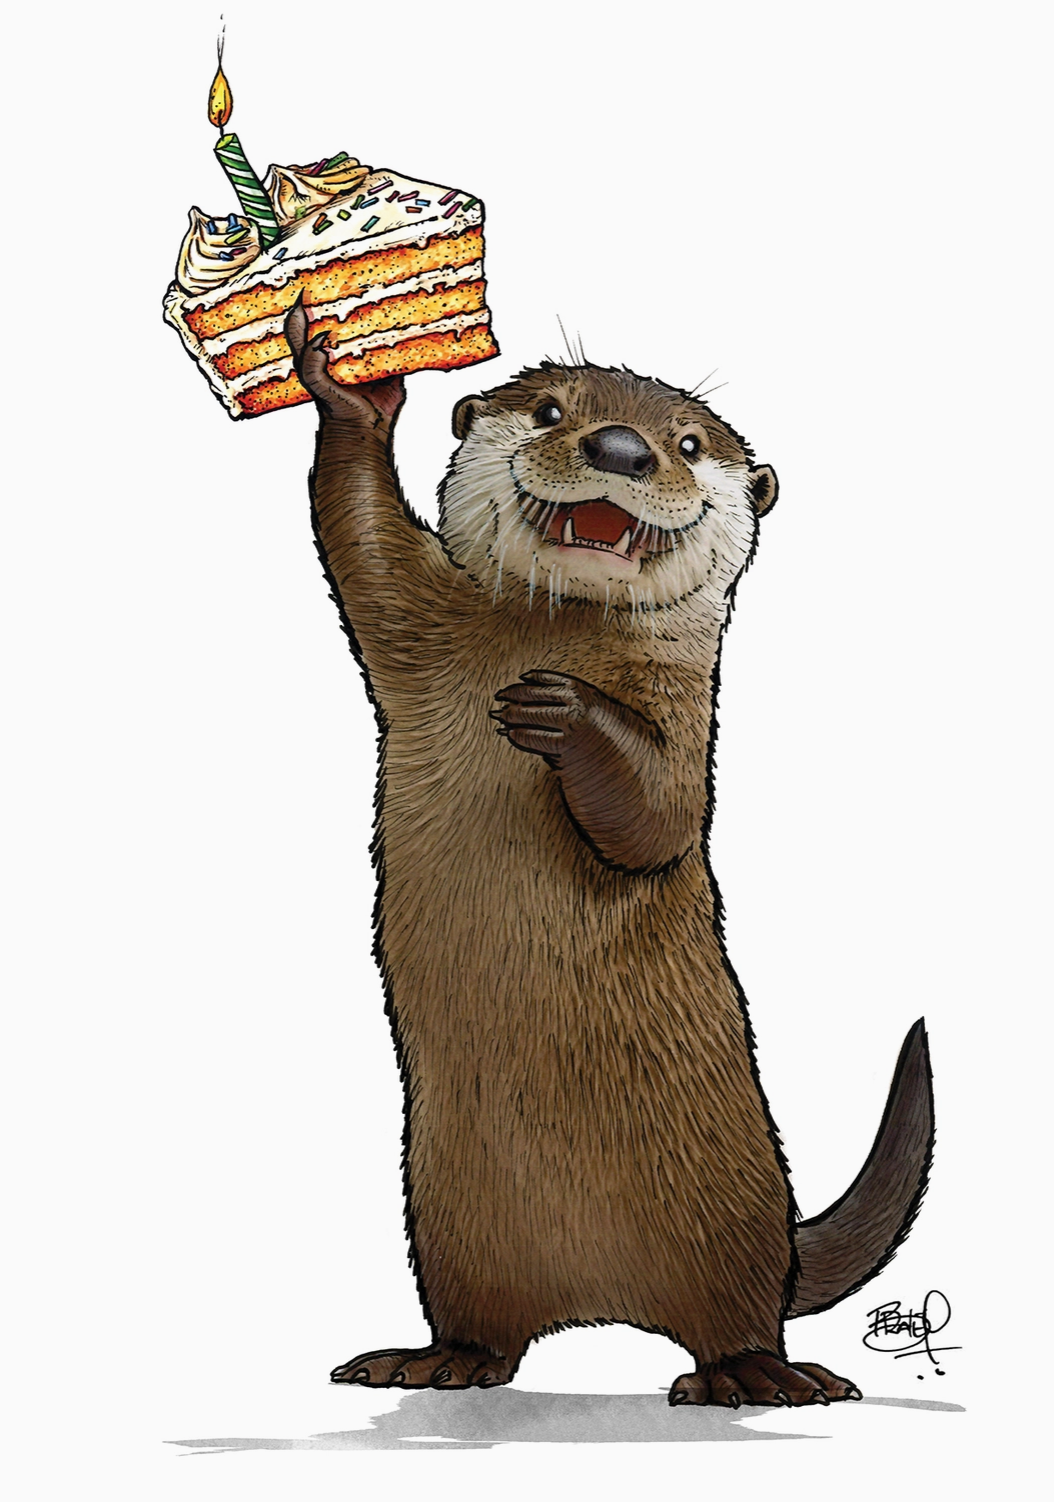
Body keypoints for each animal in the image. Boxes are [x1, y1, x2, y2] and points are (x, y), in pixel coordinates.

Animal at [284, 302, 933, 1408]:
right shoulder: (410, 622)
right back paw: (436, 1360)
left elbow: (659, 819)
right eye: (552, 408)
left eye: (689, 443)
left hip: (729, 1202)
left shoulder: (686, 727)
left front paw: (562, 710)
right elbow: (358, 537)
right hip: (446, 1218)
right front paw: (353, 394)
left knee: (735, 1312)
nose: (621, 447)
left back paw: (760, 1375)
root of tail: (600, 1303)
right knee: (486, 1325)